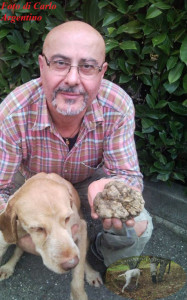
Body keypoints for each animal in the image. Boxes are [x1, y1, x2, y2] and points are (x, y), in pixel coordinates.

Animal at [0, 172, 102, 300]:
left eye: (67, 218)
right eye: (38, 228)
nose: (71, 263)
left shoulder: (81, 229)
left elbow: (78, 274)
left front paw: (78, 295)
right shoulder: (6, 236)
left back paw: (91, 273)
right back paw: (8, 267)